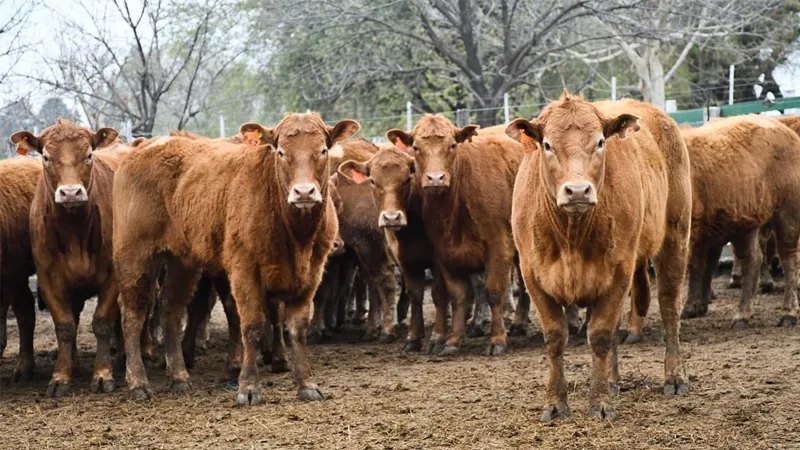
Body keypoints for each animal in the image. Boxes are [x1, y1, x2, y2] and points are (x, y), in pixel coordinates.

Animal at [10, 119, 134, 397]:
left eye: (88, 155)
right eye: (46, 157)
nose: (70, 193)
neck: (75, 231)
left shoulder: (112, 278)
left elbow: (102, 322)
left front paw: (103, 374)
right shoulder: (48, 279)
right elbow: (65, 326)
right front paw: (61, 376)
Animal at [112, 113, 356, 405]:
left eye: (322, 150)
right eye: (281, 152)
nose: (304, 192)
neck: (295, 236)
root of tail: (146, 145)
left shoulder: (311, 273)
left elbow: (297, 329)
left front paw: (306, 384)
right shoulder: (244, 269)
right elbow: (250, 325)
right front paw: (248, 387)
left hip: (182, 261)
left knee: (170, 308)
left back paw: (179, 377)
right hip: (134, 254)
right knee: (133, 313)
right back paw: (138, 382)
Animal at [506, 93, 692, 421]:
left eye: (601, 142)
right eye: (547, 145)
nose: (578, 190)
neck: (571, 235)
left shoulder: (619, 270)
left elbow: (601, 334)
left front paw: (601, 403)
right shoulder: (532, 274)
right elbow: (555, 337)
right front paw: (556, 404)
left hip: (675, 238)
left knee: (670, 308)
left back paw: (674, 377)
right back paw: (613, 381)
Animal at [677, 115, 800, 327]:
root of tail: (786, 131)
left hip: (786, 216)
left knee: (788, 260)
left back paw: (787, 313)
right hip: (744, 226)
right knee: (752, 259)